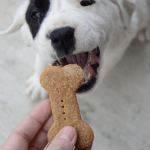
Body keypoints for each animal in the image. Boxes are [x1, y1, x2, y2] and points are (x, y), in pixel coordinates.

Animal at [0, 0, 150, 101]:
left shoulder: (129, 28)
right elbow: (41, 57)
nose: (61, 35)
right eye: (35, 15)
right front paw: (38, 82)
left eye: (87, 1)